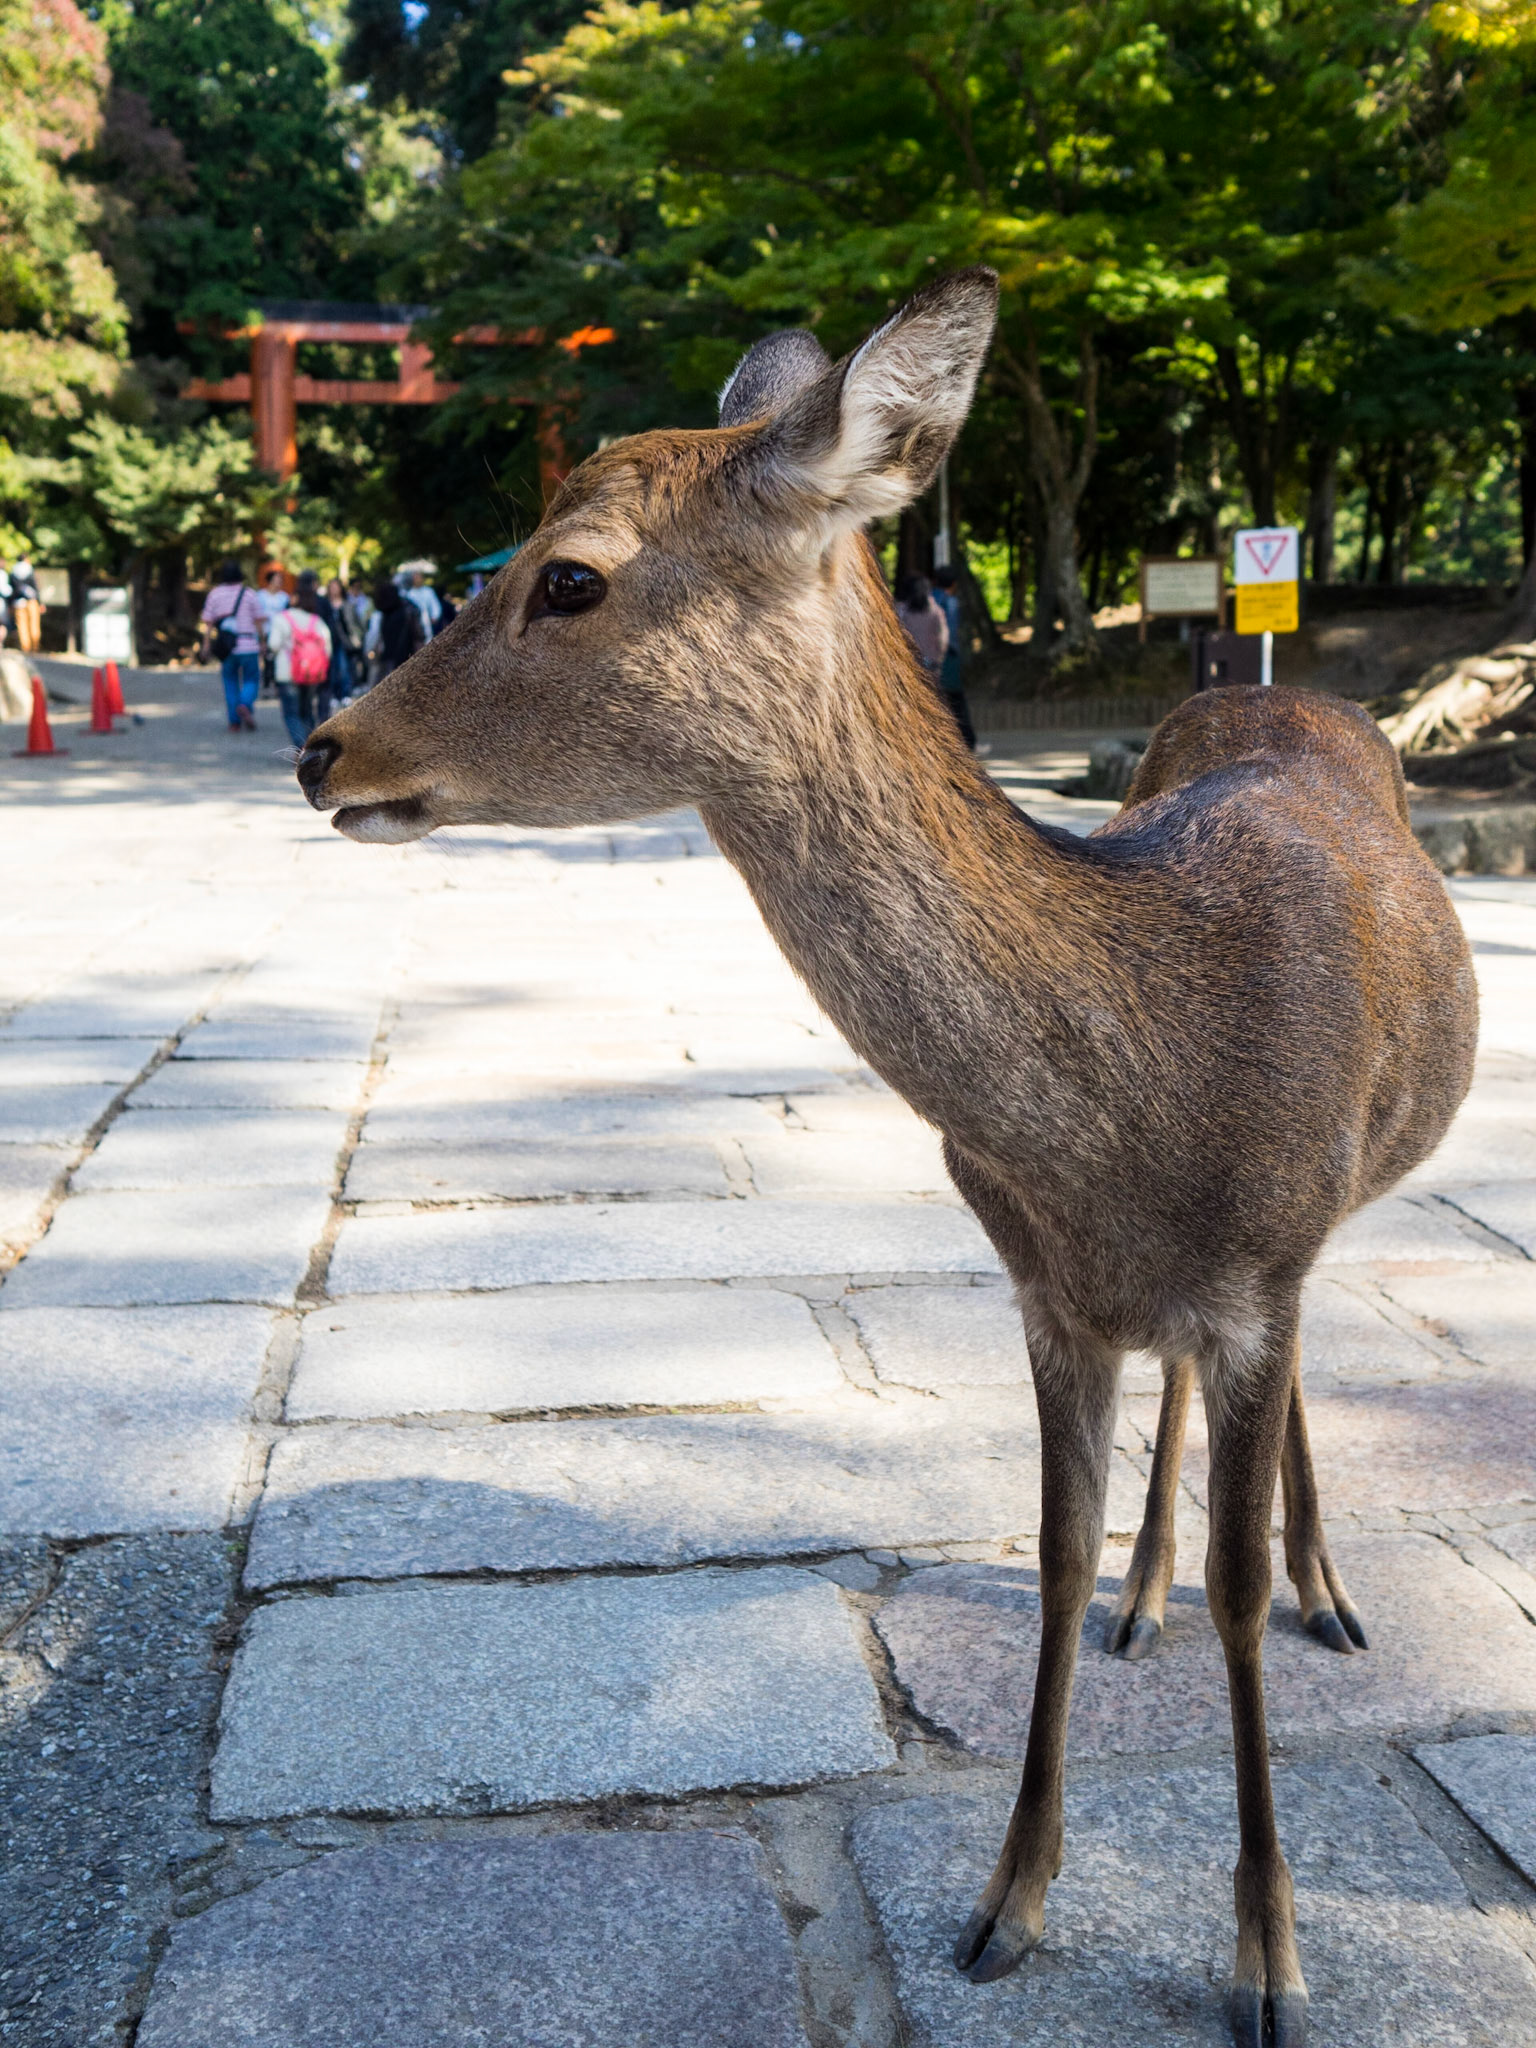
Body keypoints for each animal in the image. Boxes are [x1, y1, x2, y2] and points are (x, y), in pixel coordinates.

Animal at [295, 268, 1477, 2046]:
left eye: (569, 576)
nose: (323, 747)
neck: (1138, 1113)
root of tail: (1282, 684)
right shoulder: (1046, 1290)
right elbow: (1046, 1557)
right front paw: (1007, 1904)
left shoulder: (1264, 1264)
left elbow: (1240, 1585)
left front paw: (1269, 1965)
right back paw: (1146, 1598)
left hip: (1334, 1213)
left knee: (1281, 1446)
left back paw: (1332, 1592)